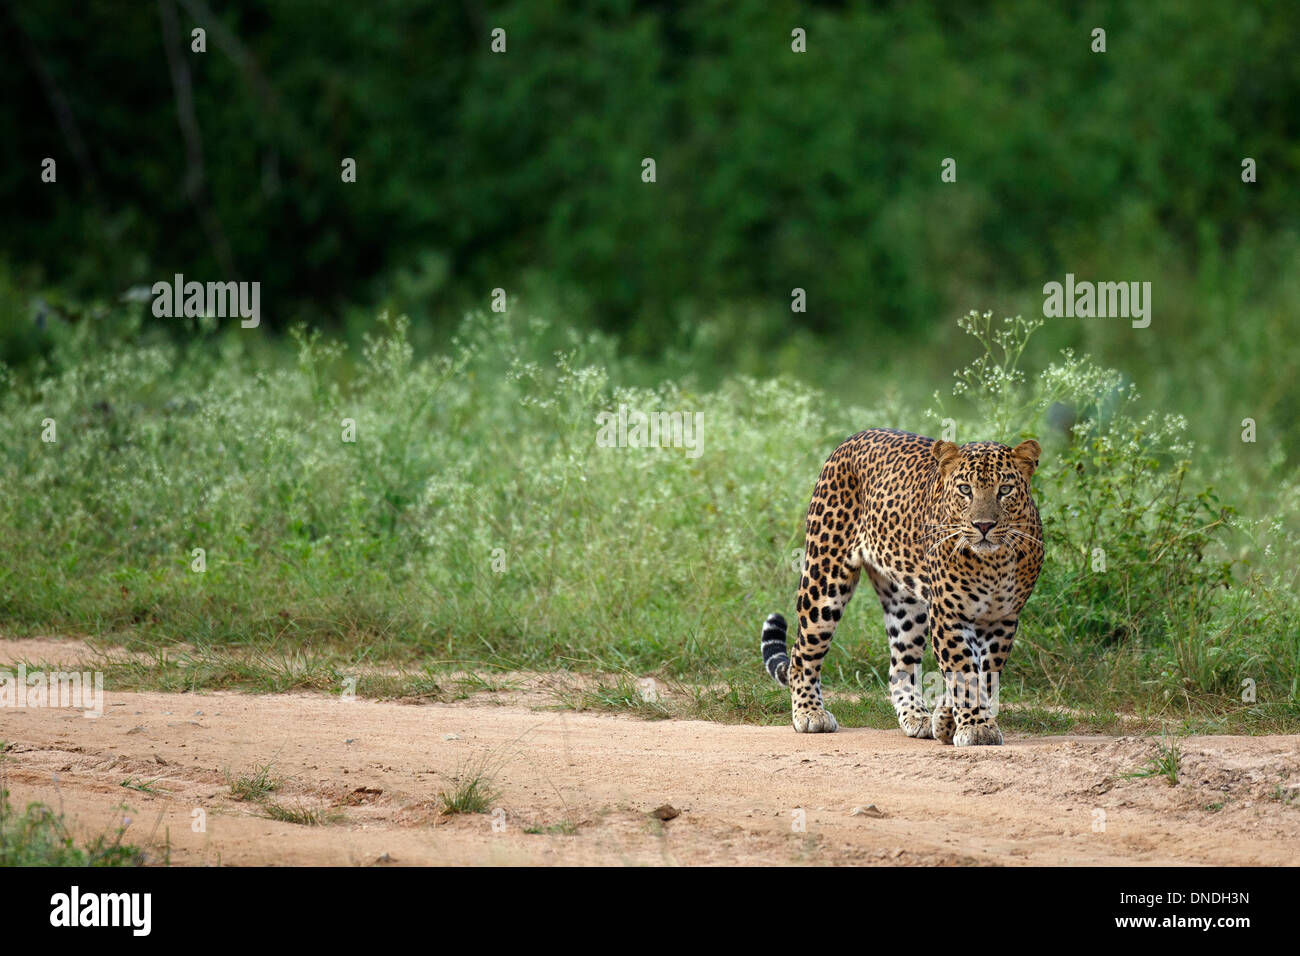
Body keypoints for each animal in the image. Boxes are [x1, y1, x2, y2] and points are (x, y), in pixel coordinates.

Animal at [759, 429, 1045, 749]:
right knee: (802, 652)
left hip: (907, 605)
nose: (983, 525)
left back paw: (917, 716)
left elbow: (984, 674)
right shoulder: (948, 614)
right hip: (824, 580)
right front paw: (976, 728)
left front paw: (947, 720)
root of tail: (853, 437)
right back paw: (810, 713)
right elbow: (963, 672)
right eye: (965, 489)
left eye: (1005, 489)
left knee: (899, 669)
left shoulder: (1002, 619)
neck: (993, 562)